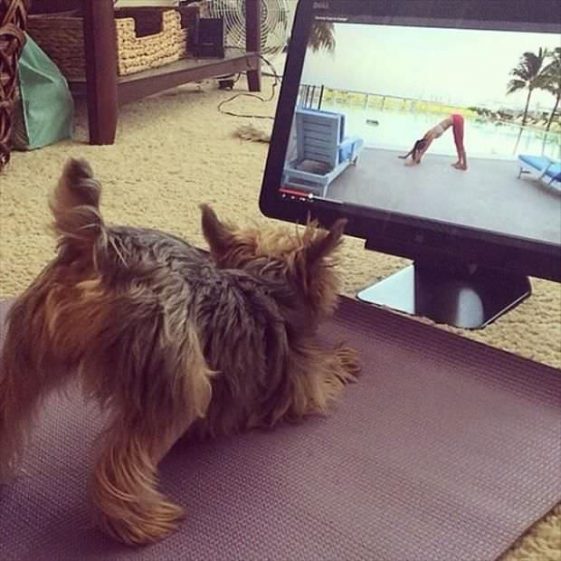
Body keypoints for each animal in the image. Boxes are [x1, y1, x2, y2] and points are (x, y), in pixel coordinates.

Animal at [0, 158, 358, 544]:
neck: (267, 284)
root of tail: (100, 246)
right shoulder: (302, 386)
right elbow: (325, 372)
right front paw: (344, 358)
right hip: (176, 376)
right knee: (122, 460)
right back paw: (139, 522)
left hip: (28, 349)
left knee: (11, 407)